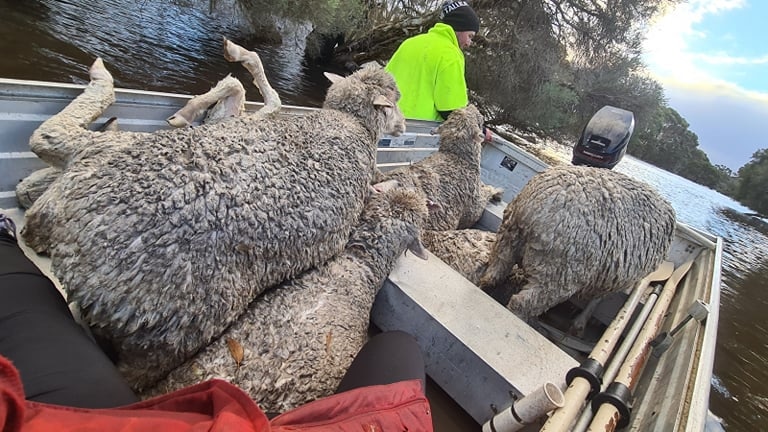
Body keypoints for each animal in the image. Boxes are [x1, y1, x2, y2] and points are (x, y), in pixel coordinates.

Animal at [18, 38, 404, 386]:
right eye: (396, 100)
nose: (402, 127)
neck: (349, 121)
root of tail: (76, 250)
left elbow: (259, 99)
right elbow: (259, 97)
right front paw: (198, 101)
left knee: (48, 144)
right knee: (49, 139)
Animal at [484, 165, 676, 334]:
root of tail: (533, 209)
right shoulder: (617, 276)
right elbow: (598, 298)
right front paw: (580, 324)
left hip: (507, 241)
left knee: (492, 276)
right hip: (558, 274)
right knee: (522, 303)